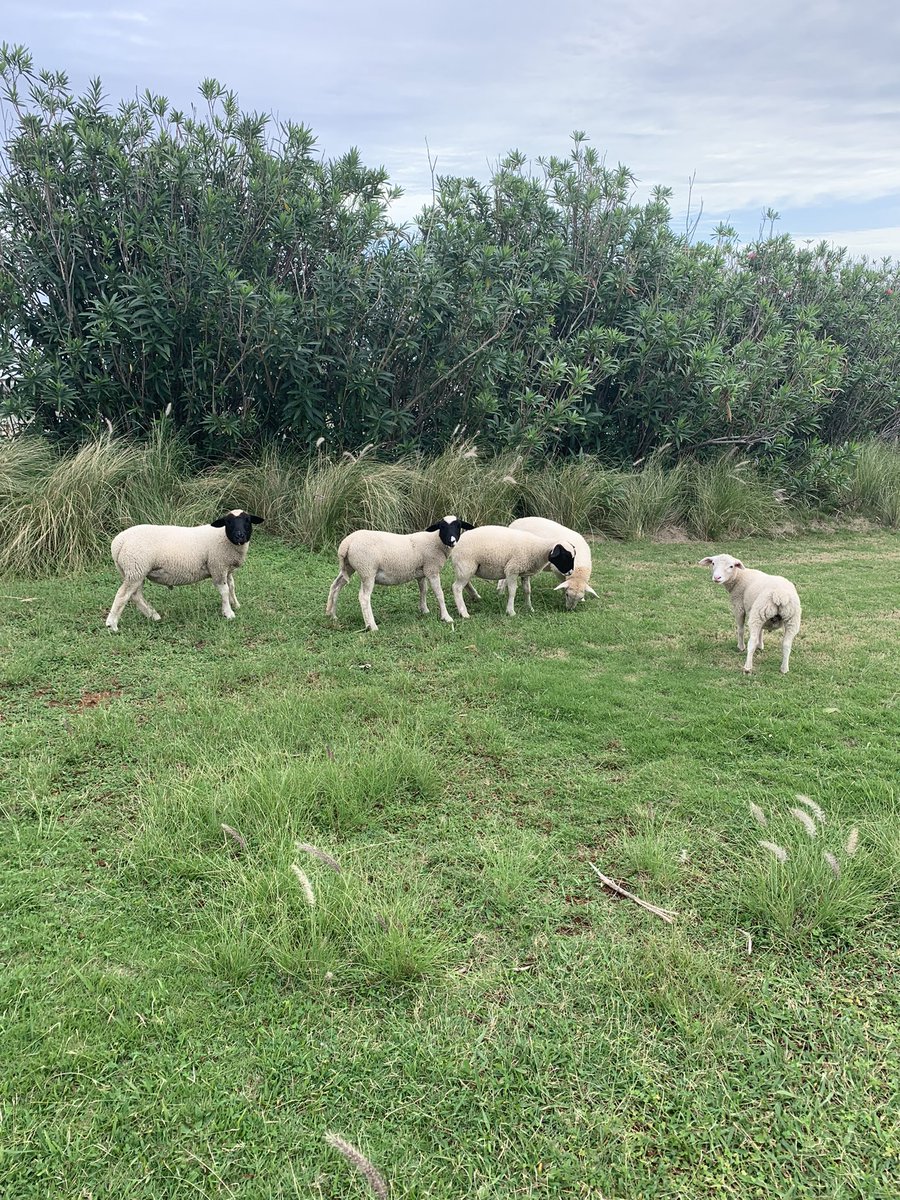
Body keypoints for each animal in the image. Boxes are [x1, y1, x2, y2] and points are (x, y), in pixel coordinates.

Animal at [105, 509, 263, 632]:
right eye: (228, 522)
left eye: (248, 520)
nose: (239, 535)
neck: (224, 538)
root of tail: (118, 543)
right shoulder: (217, 566)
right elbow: (224, 591)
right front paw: (228, 613)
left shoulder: (226, 569)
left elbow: (231, 586)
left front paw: (235, 604)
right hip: (135, 568)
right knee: (123, 595)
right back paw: (112, 624)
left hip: (134, 571)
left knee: (135, 595)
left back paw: (153, 615)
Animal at [325, 515, 474, 632]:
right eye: (442, 527)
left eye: (458, 526)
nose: (452, 541)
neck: (436, 542)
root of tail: (346, 544)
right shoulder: (432, 569)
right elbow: (439, 594)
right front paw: (446, 617)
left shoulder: (421, 572)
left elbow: (423, 591)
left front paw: (424, 610)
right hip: (367, 570)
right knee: (364, 597)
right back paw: (372, 626)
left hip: (349, 567)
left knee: (336, 586)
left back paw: (331, 614)